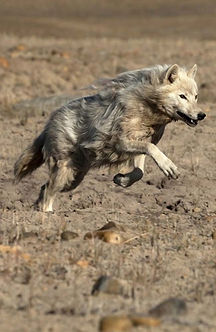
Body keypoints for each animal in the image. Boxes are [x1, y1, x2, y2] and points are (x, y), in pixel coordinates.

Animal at [13, 63, 206, 211]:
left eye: (196, 97)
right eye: (182, 96)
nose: (202, 115)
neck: (146, 108)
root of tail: (49, 123)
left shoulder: (138, 146)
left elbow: (140, 172)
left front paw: (121, 180)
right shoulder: (119, 142)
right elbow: (152, 150)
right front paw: (169, 167)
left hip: (74, 178)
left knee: (44, 188)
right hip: (64, 172)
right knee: (48, 192)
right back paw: (46, 217)